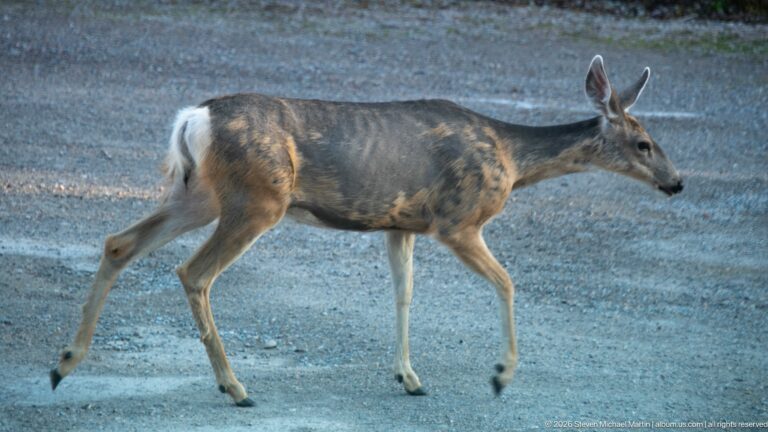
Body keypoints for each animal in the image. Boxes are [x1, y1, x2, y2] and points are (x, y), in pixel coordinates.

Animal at [50, 55, 682, 407]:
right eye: (643, 142)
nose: (677, 182)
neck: (510, 158)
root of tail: (193, 118)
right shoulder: (457, 219)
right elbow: (507, 283)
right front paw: (501, 376)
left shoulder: (401, 224)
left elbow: (403, 294)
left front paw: (409, 377)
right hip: (258, 198)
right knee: (193, 271)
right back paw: (236, 388)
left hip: (199, 193)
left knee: (119, 242)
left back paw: (64, 363)